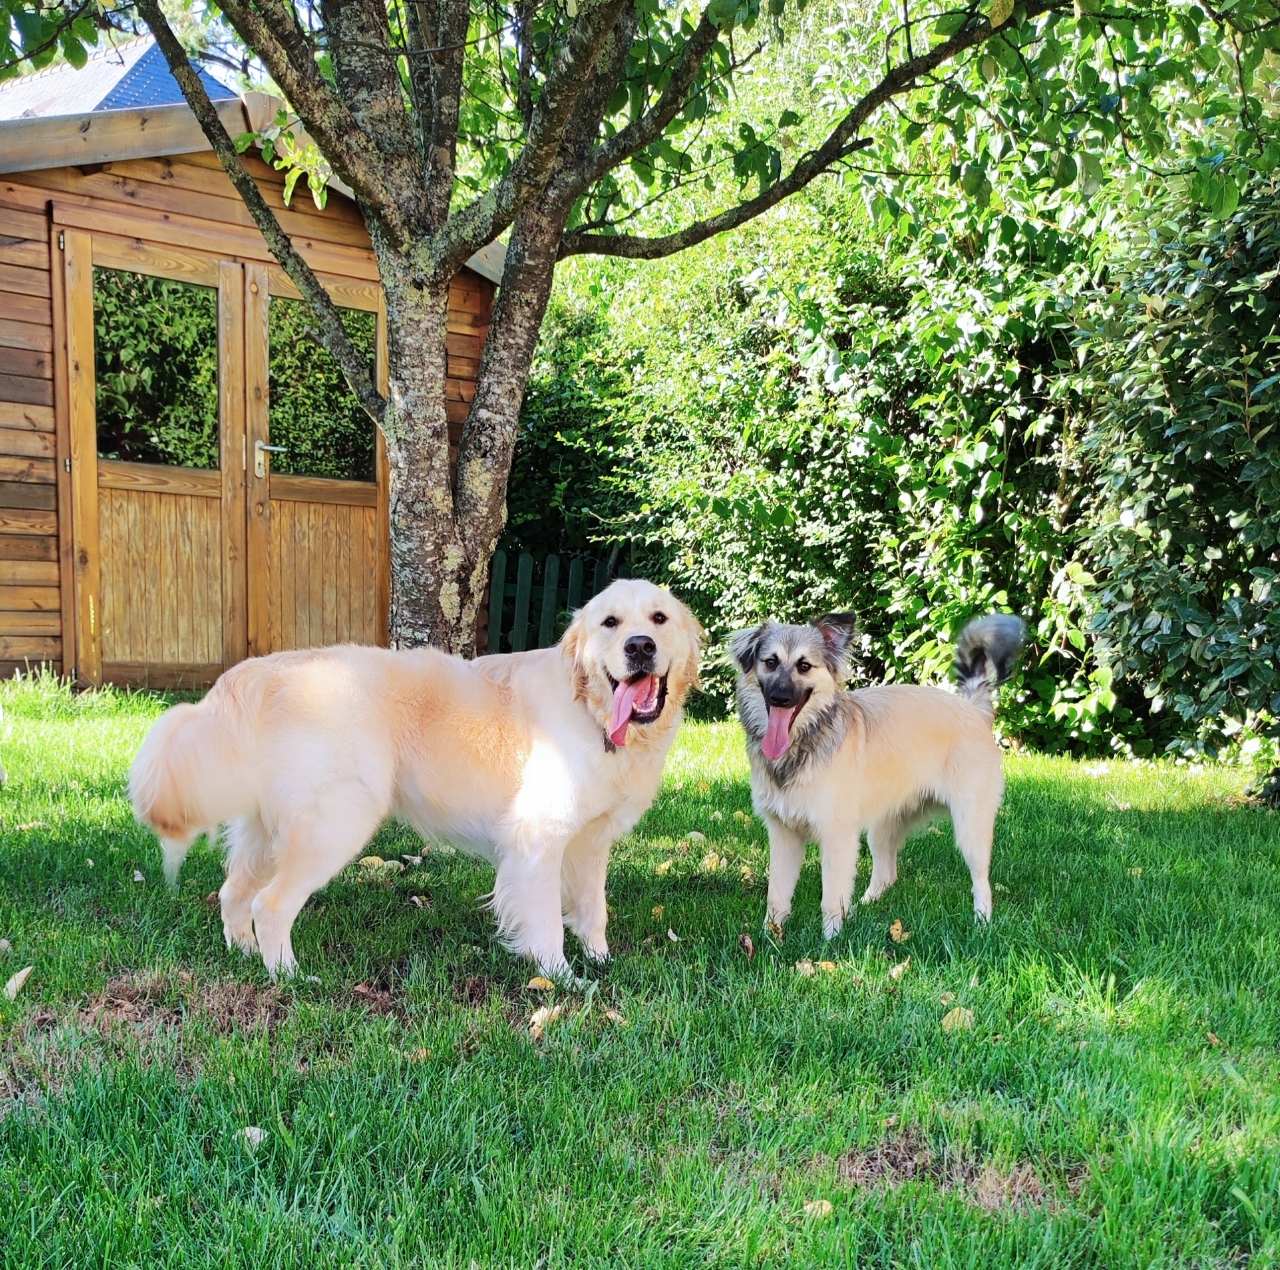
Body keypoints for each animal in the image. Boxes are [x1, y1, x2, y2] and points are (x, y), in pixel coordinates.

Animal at [129, 578, 702, 980]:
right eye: (610, 622)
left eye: (659, 618)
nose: (640, 646)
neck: (594, 712)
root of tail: (265, 670)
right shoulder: (538, 839)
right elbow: (543, 923)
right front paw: (561, 978)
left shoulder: (590, 842)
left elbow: (592, 910)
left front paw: (601, 961)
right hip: (333, 825)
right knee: (269, 905)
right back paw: (290, 977)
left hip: (268, 832)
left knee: (233, 894)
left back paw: (245, 957)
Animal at [731, 612, 1024, 935]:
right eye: (770, 662)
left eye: (804, 666)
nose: (779, 698)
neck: (803, 742)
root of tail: (972, 708)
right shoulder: (783, 833)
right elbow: (777, 896)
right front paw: (770, 936)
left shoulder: (837, 837)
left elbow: (831, 897)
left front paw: (830, 940)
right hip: (884, 826)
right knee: (886, 874)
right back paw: (863, 908)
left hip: (970, 827)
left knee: (982, 881)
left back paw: (982, 922)